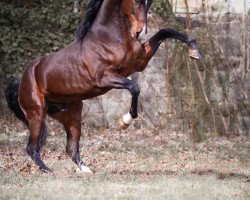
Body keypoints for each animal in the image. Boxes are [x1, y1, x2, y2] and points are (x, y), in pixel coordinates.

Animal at [3, 0, 200, 173]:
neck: (108, 37)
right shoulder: (105, 78)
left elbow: (164, 31)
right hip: (37, 113)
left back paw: (85, 170)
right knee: (32, 147)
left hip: (71, 114)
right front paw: (125, 121)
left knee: (71, 148)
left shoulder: (139, 62)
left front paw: (194, 50)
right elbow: (134, 87)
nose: (138, 31)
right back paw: (47, 171)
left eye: (149, 1)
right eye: (135, 1)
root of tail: (21, 79)